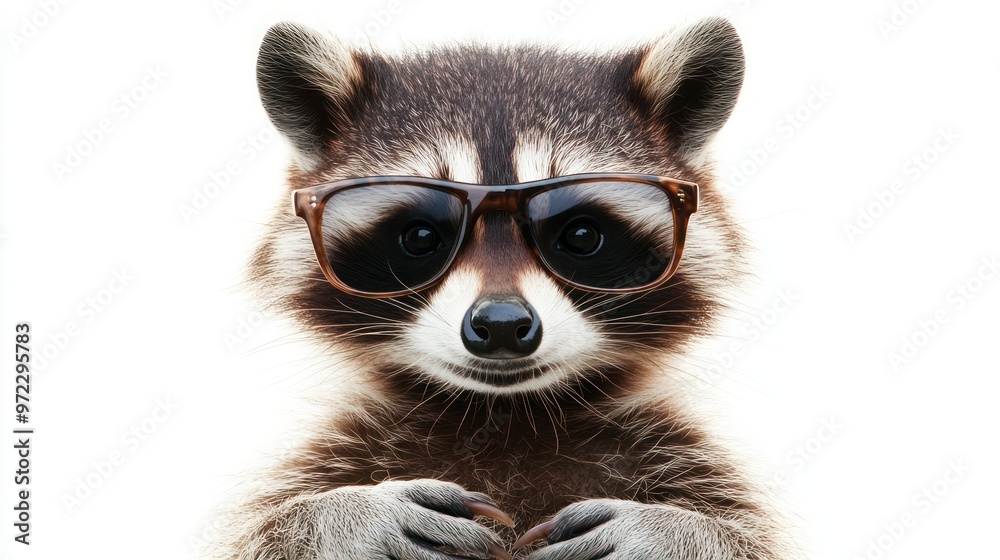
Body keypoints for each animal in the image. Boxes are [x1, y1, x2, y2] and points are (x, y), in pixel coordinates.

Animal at [220, 17, 797, 560]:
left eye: (581, 236)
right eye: (420, 237)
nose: (500, 325)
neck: (506, 415)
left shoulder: (685, 457)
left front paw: (670, 531)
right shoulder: (333, 452)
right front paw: (346, 515)